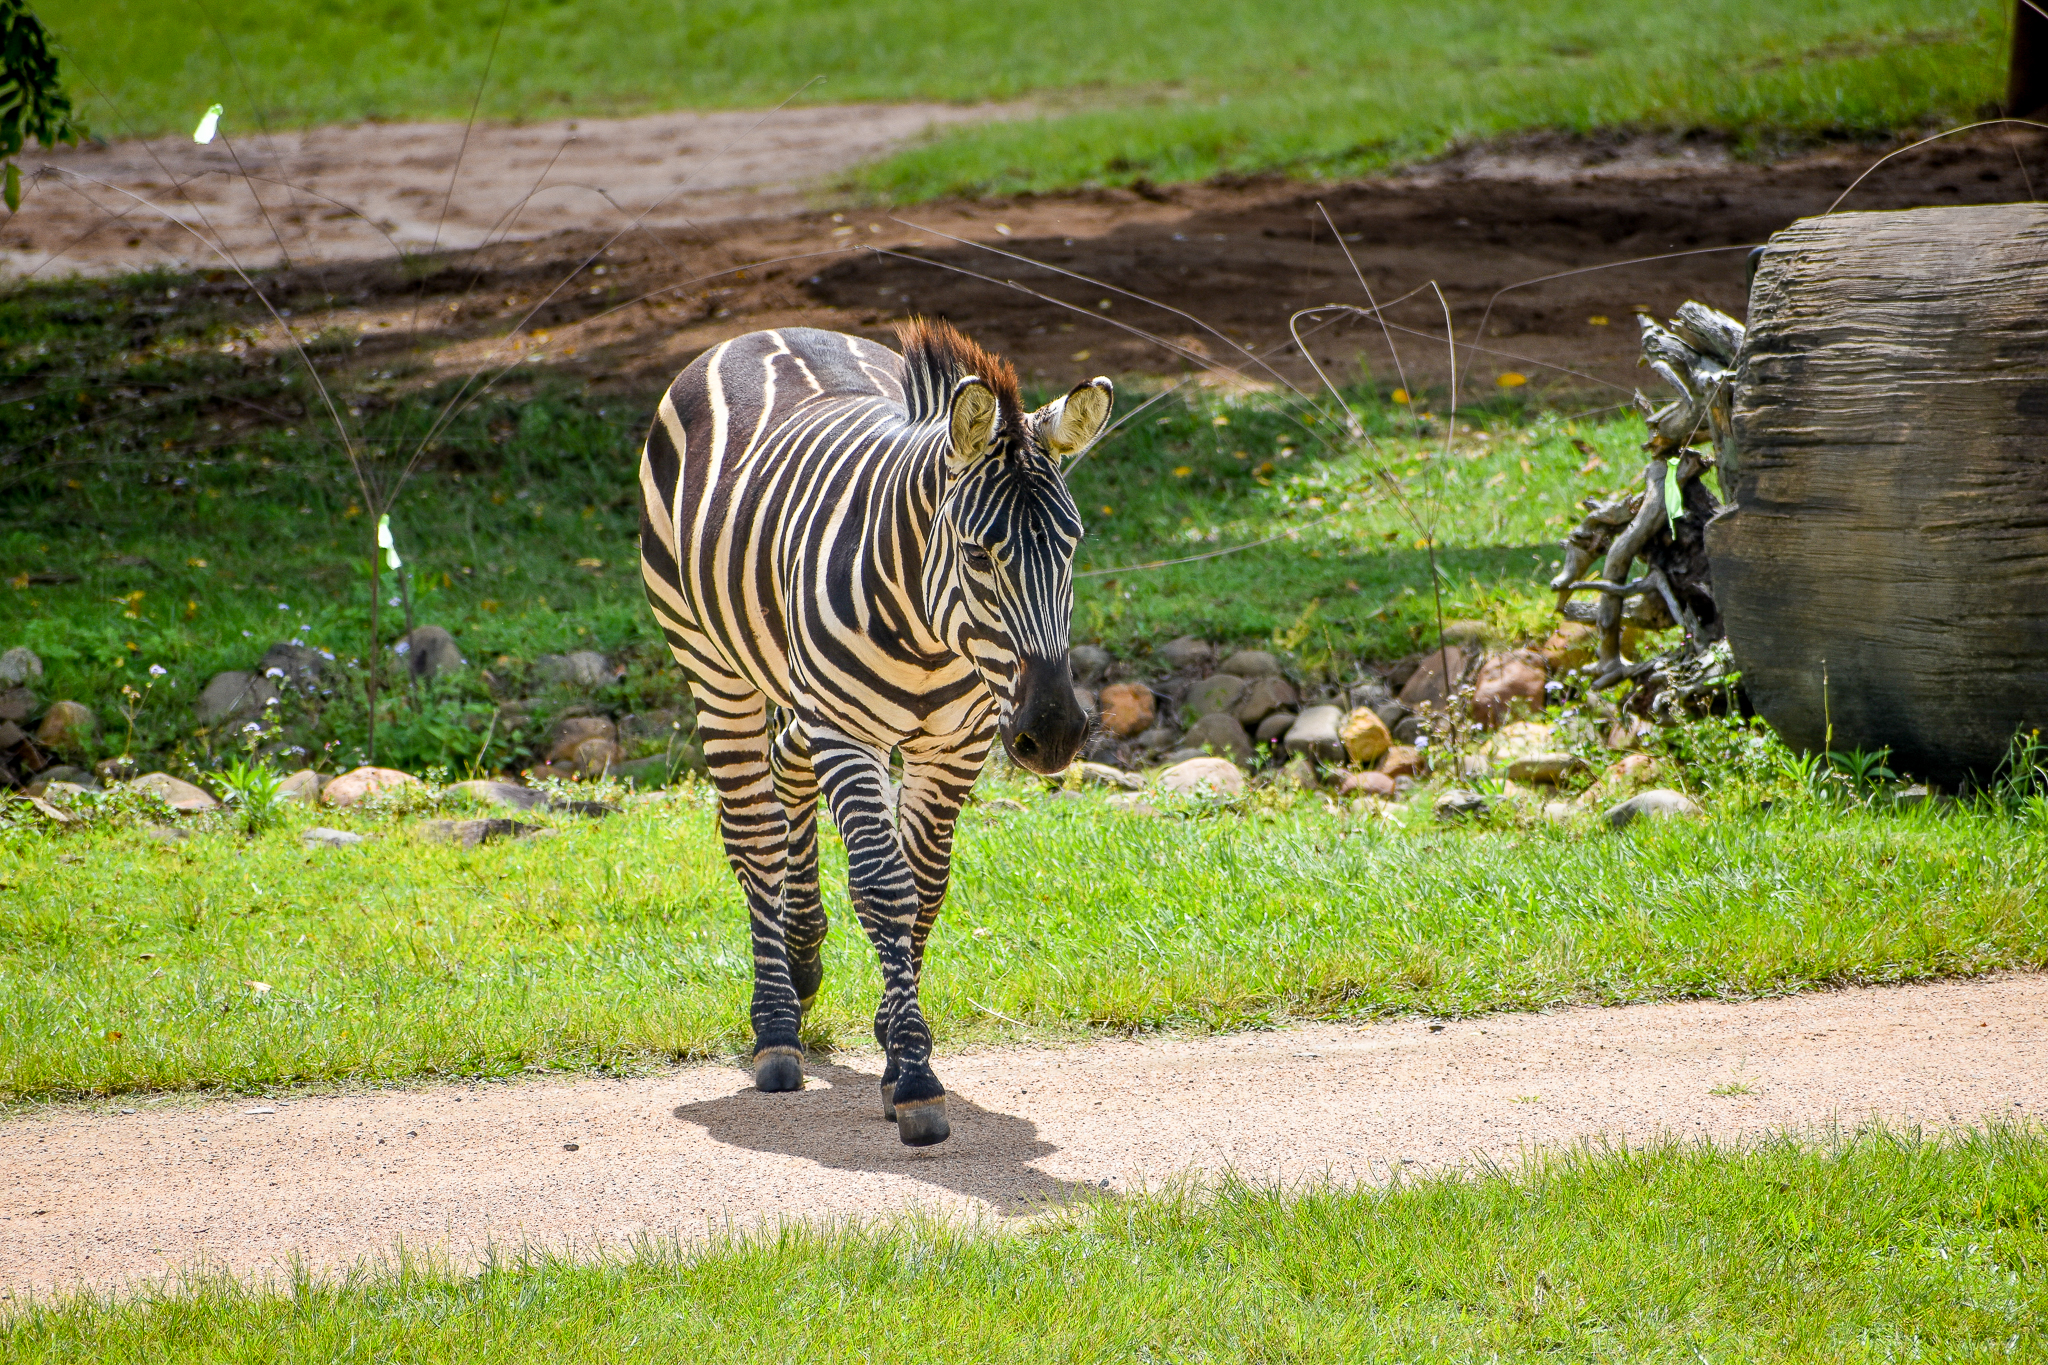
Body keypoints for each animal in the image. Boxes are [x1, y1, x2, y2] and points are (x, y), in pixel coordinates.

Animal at [639, 318, 1112, 1145]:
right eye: (979, 553)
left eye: (1072, 546)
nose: (1053, 731)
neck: (928, 630)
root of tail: (766, 330)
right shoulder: (847, 731)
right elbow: (884, 886)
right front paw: (917, 1078)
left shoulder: (952, 746)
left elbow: (924, 889)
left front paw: (895, 1045)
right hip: (712, 660)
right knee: (753, 830)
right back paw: (775, 1027)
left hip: (803, 695)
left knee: (785, 769)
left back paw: (801, 956)